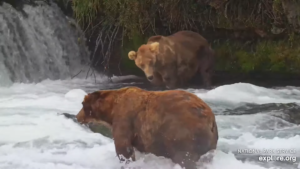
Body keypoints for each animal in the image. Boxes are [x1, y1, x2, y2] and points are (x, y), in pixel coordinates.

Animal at [76, 86, 219, 168]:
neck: (111, 110)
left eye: (82, 104)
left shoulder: (125, 118)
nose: (77, 116)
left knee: (185, 157)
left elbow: (123, 147)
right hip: (209, 143)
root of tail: (210, 117)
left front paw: (126, 162)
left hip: (183, 133)